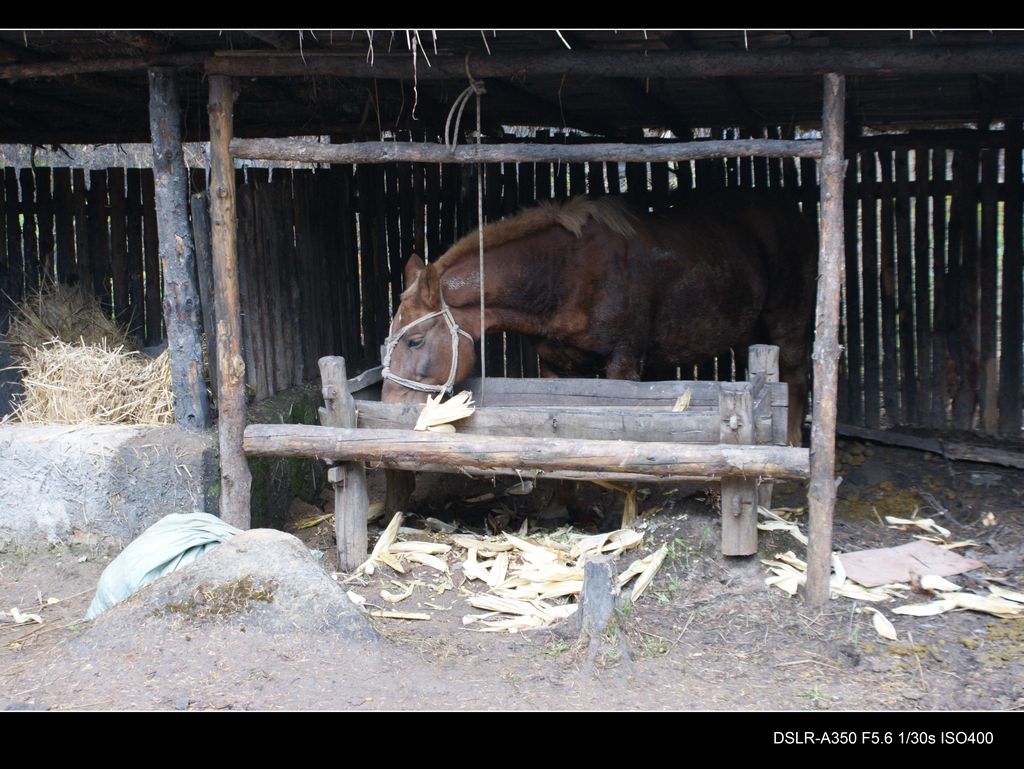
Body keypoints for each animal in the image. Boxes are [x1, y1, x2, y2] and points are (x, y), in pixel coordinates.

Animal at [380, 192, 819, 444]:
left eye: (415, 341)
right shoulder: (555, 367)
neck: (563, 275)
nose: (388, 408)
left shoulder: (622, 364)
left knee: (796, 379)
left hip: (788, 322)